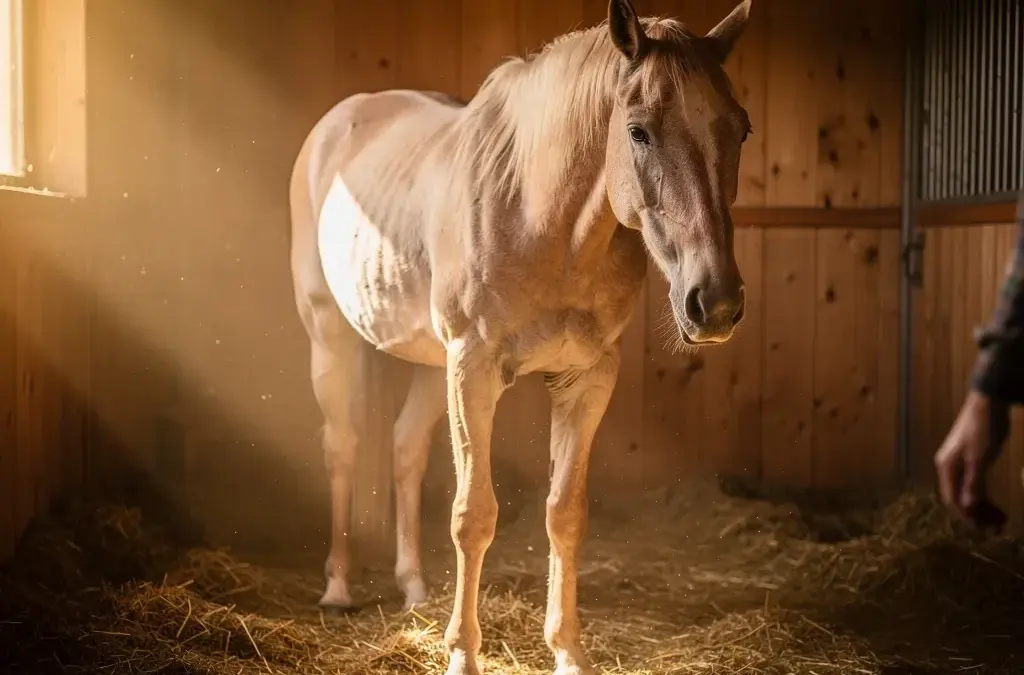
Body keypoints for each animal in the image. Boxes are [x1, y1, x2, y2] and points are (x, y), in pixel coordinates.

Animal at [288, 0, 753, 672]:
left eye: (740, 130)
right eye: (638, 131)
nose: (714, 304)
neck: (543, 220)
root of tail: (338, 122)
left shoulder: (587, 378)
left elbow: (566, 513)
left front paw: (569, 651)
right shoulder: (474, 369)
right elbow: (472, 515)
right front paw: (462, 654)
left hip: (431, 365)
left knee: (405, 449)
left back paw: (414, 588)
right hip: (332, 336)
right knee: (342, 446)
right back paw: (338, 587)